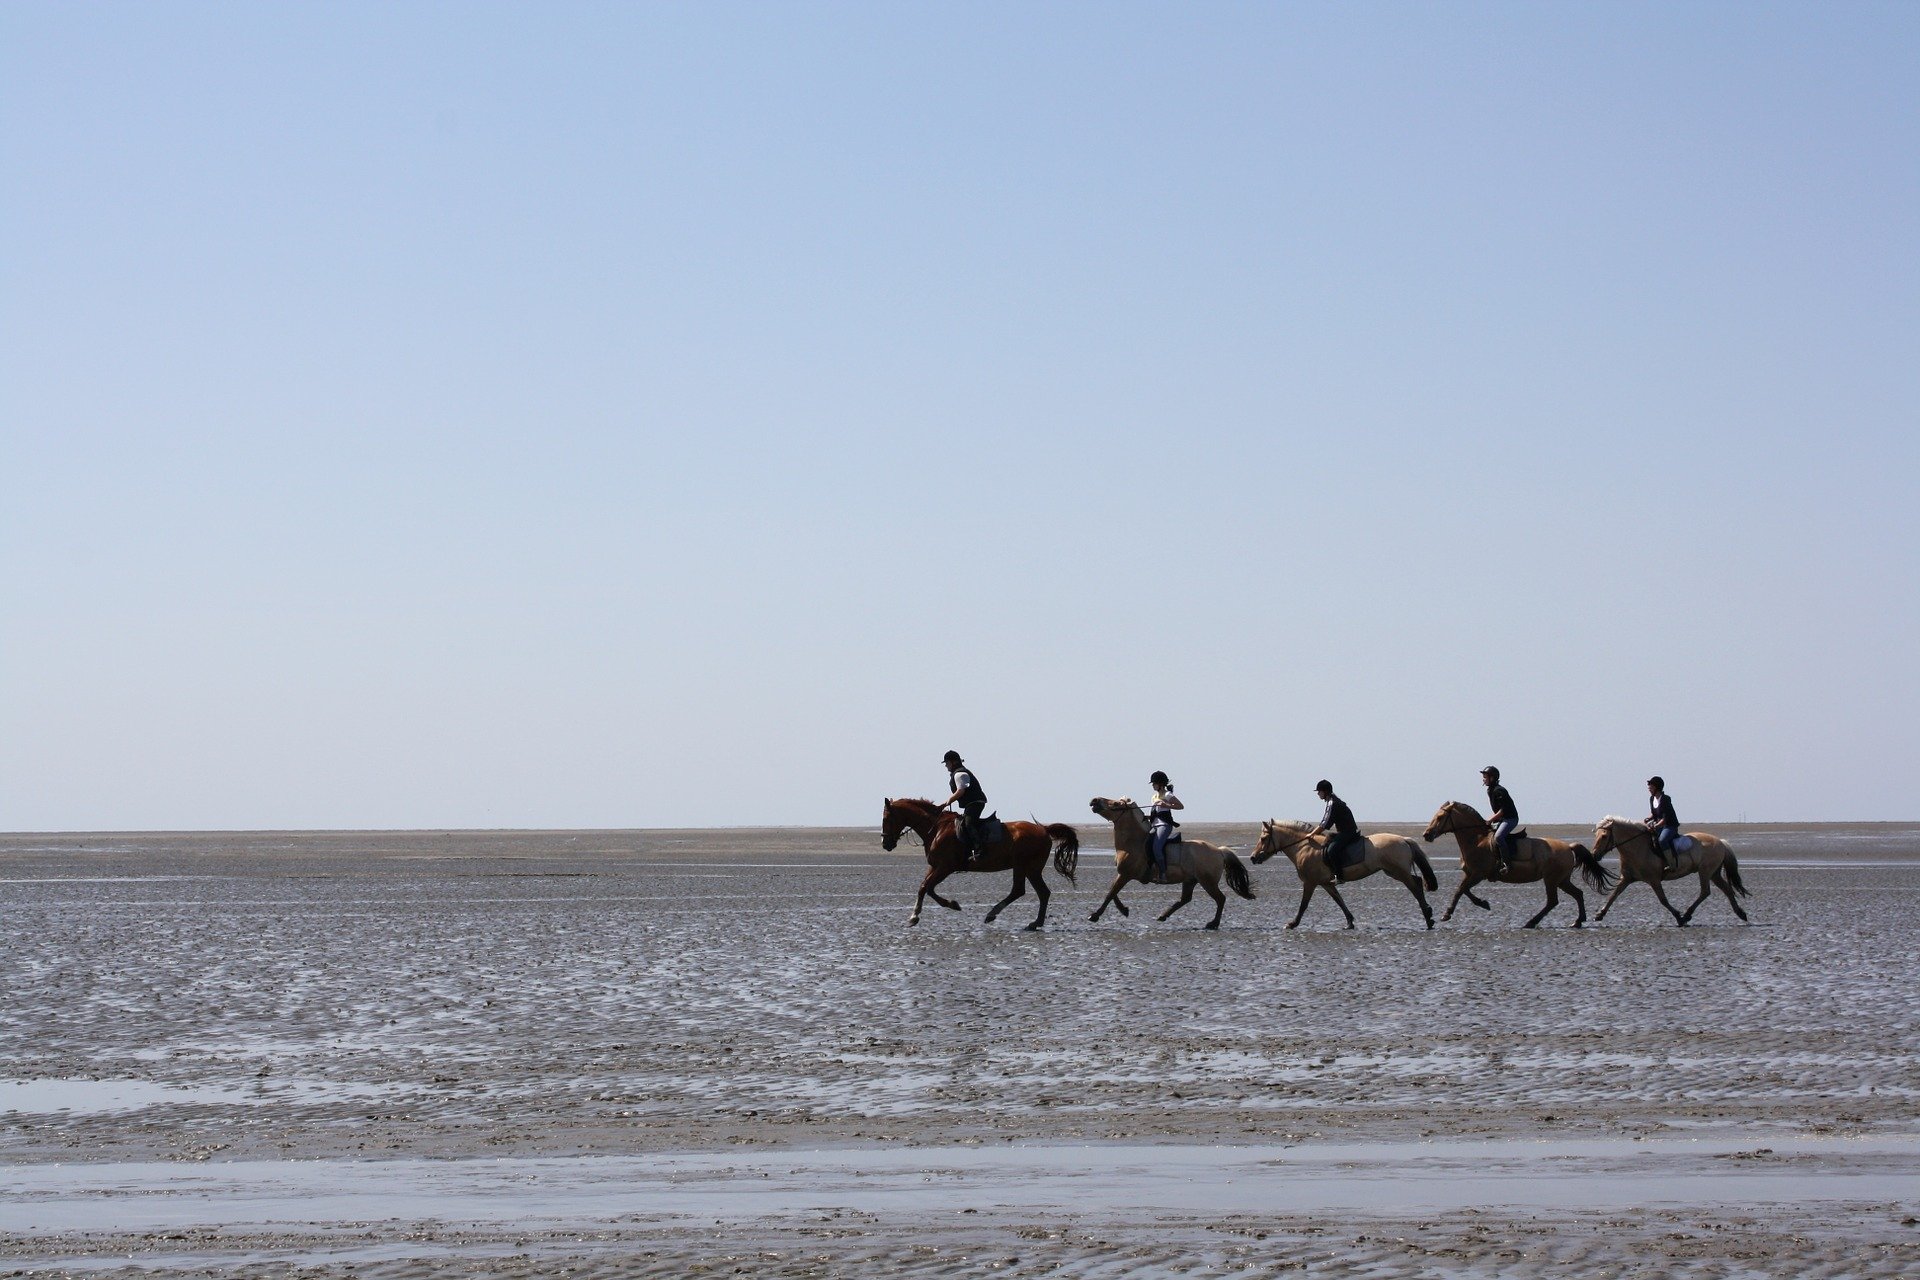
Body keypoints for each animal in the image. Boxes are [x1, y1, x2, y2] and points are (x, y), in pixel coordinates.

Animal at [879, 802, 1082, 932]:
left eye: (886, 818)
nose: (885, 844)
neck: (936, 828)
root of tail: (1044, 830)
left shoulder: (945, 867)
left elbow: (929, 888)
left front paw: (952, 905)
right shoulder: (935, 866)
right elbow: (922, 887)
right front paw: (914, 916)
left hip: (1025, 866)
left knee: (1023, 890)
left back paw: (1000, 916)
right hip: (1029, 868)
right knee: (1039, 892)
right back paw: (1033, 922)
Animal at [1251, 821, 1436, 932]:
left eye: (1264, 838)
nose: (1253, 857)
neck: (1304, 846)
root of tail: (1404, 839)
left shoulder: (1310, 882)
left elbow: (1303, 905)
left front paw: (1292, 924)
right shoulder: (1326, 883)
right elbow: (1339, 901)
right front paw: (1350, 922)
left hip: (1397, 871)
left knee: (1415, 886)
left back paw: (1428, 917)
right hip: (1395, 871)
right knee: (1417, 883)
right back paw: (1428, 916)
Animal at [1420, 802, 1612, 932]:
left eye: (1440, 818)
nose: (1426, 834)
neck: (1477, 840)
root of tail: (1568, 847)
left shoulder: (1477, 875)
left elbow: (1460, 890)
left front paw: (1447, 914)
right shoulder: (1471, 875)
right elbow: (1464, 890)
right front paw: (1483, 903)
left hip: (1552, 880)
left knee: (1553, 901)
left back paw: (1531, 922)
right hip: (1562, 880)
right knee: (1577, 894)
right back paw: (1578, 921)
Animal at [1582, 821, 1751, 932]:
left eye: (1604, 836)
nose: (1594, 855)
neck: (1637, 847)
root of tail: (1720, 842)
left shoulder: (1654, 880)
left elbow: (1663, 900)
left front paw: (1678, 917)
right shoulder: (1627, 879)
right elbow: (1614, 895)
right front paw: (1599, 914)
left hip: (1705, 872)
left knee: (1705, 892)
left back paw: (1687, 915)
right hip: (1713, 873)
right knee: (1726, 889)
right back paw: (1741, 913)